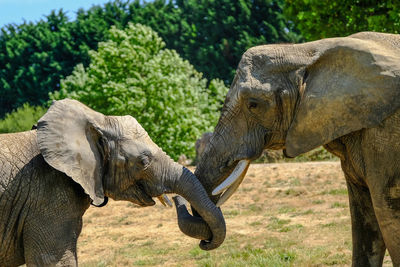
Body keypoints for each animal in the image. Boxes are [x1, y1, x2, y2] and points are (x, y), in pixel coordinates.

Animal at [191, 32, 400, 266]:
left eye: (253, 104)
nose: (204, 242)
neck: (307, 51)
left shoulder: (387, 136)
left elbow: (388, 216)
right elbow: (364, 219)